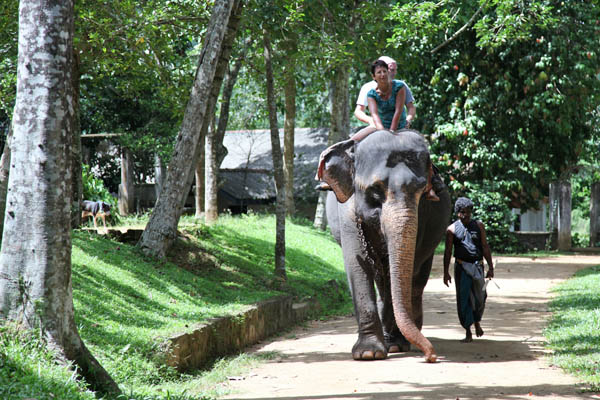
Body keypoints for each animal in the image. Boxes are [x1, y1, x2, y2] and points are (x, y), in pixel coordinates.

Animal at [318, 129, 450, 362]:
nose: (431, 356)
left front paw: (395, 345)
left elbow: (402, 269)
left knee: (417, 280)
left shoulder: (422, 215)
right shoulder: (347, 212)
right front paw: (368, 353)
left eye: (422, 191)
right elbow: (357, 264)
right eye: (375, 190)